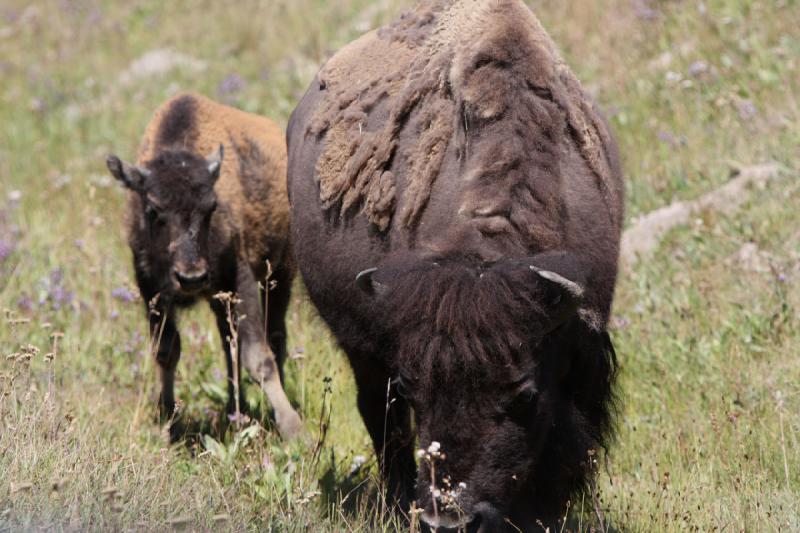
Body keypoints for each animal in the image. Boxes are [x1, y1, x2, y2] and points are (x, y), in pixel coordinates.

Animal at [108, 93, 302, 438]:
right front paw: (167, 423)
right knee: (229, 346)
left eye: (211, 207)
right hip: (220, 300)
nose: (192, 277)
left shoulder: (240, 279)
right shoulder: (151, 288)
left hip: (277, 277)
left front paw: (293, 428)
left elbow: (258, 355)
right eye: (153, 209)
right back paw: (235, 411)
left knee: (273, 338)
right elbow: (166, 351)